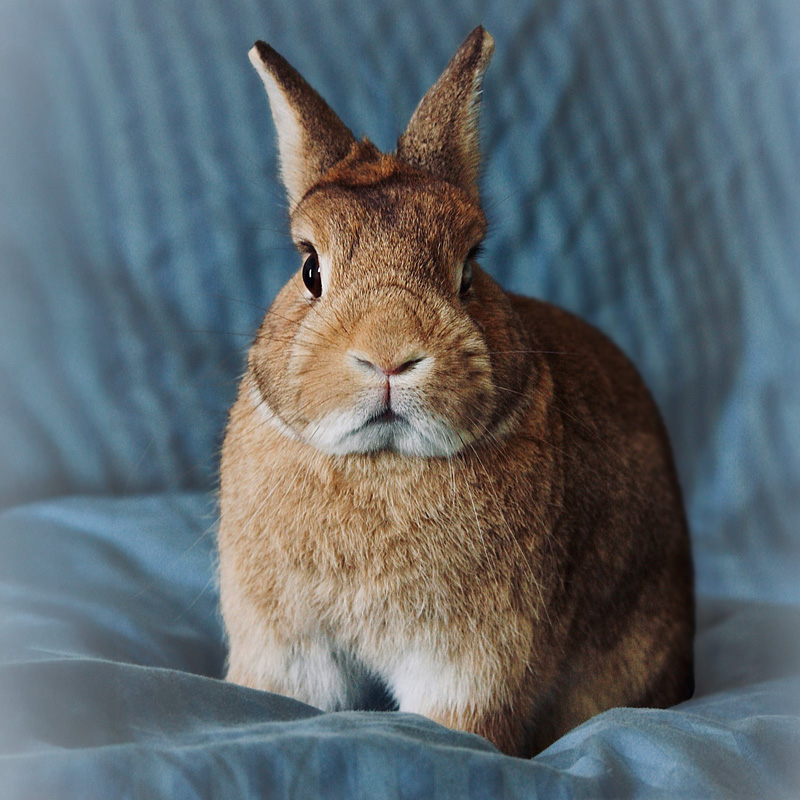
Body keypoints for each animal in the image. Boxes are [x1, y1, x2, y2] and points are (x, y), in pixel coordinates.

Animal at [217, 26, 694, 758]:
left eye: (470, 267)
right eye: (309, 269)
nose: (388, 353)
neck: (382, 463)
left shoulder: (474, 661)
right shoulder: (289, 643)